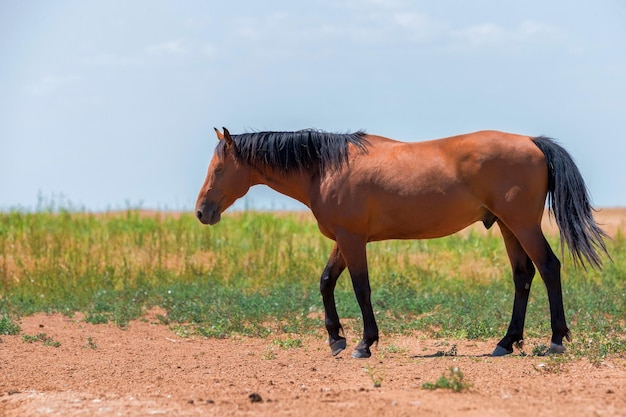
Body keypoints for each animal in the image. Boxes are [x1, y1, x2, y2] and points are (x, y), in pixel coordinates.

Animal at [194, 127, 604, 358]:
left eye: (219, 168)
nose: (201, 211)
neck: (326, 168)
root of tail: (533, 143)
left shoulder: (353, 240)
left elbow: (361, 289)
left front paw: (364, 343)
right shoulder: (343, 239)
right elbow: (326, 282)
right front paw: (335, 339)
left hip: (522, 225)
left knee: (548, 267)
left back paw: (555, 340)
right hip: (506, 226)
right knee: (523, 276)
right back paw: (507, 341)